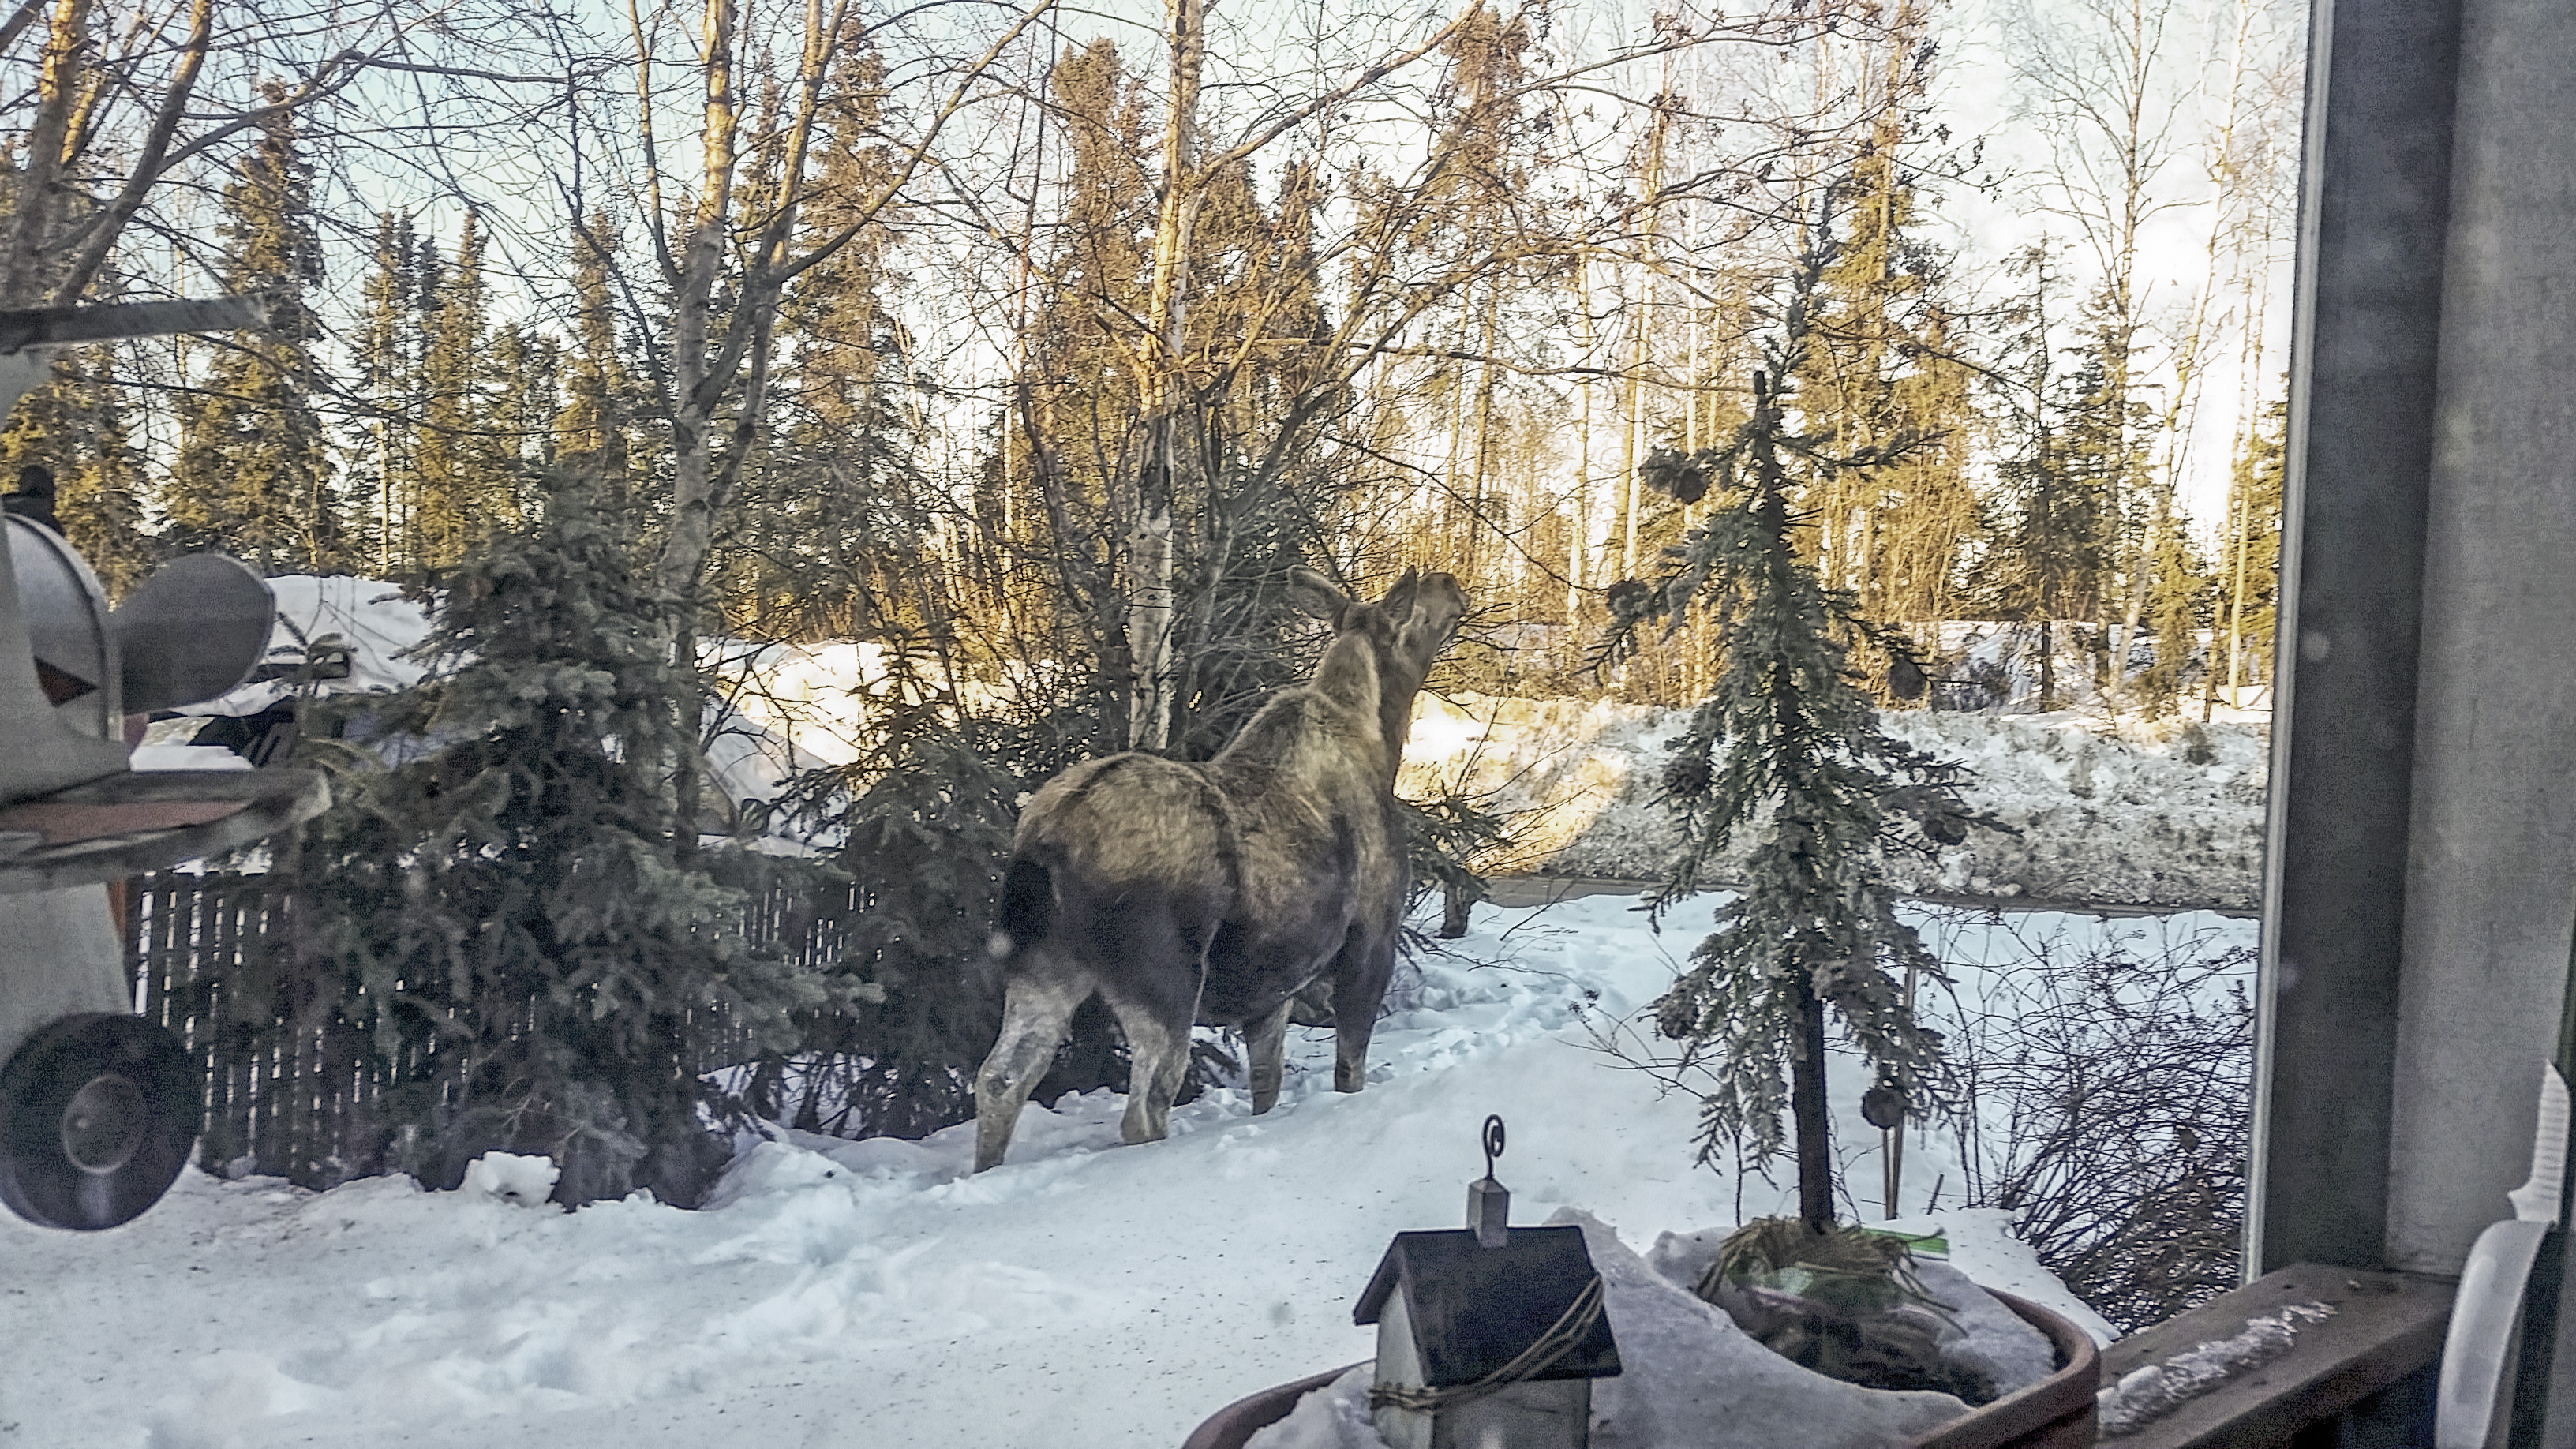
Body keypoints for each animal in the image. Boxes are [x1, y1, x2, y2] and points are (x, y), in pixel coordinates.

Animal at [970, 567, 1468, 1173]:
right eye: (1416, 613)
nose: (1450, 580)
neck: (1382, 735)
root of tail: (1045, 840)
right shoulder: (1373, 938)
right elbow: (1349, 1070)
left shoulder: (1273, 987)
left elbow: (1267, 1084)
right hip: (1166, 977)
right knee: (1146, 1106)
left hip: (1044, 967)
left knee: (1001, 1078)